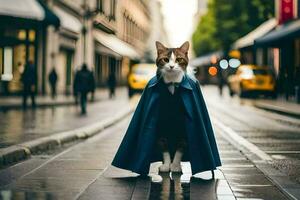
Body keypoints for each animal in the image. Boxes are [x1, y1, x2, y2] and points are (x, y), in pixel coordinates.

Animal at [156, 40, 189, 172]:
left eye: (179, 59)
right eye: (165, 59)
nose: (171, 66)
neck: (172, 82)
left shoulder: (183, 126)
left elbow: (180, 147)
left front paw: (175, 166)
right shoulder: (161, 124)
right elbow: (164, 148)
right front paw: (166, 165)